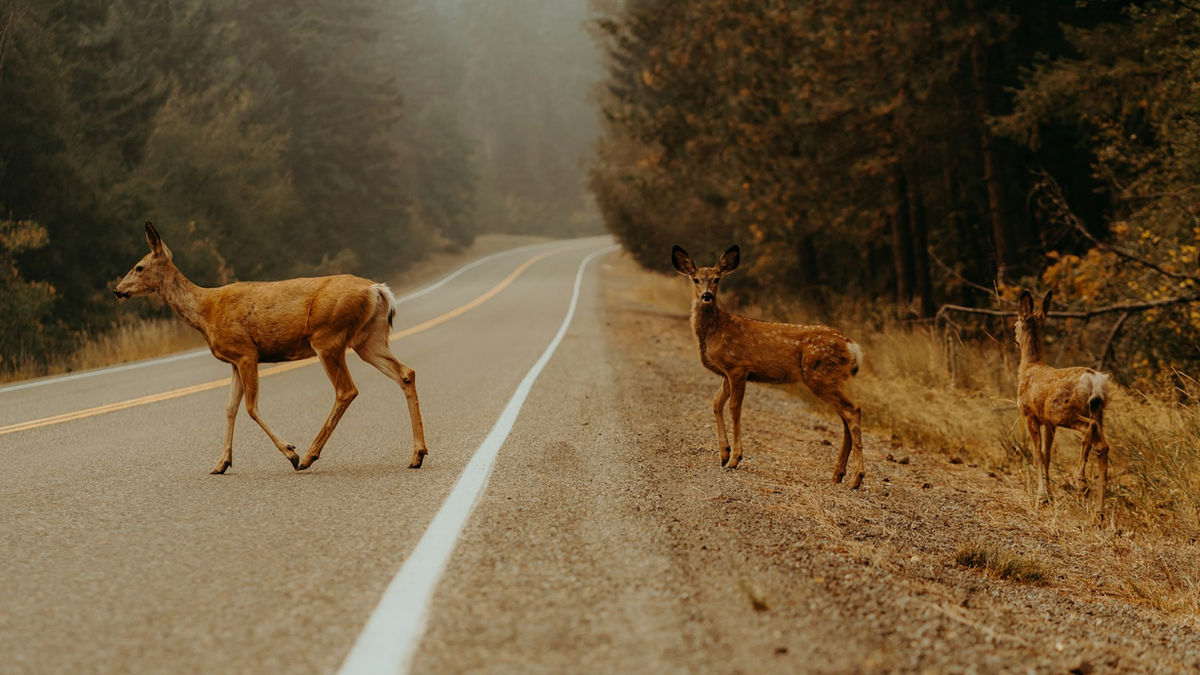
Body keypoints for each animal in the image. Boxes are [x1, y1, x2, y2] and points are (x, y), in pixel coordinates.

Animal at [114, 222, 428, 474]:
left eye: (139, 266)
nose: (118, 290)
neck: (206, 311)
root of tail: (378, 289)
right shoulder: (233, 362)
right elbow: (229, 407)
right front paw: (220, 463)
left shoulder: (246, 353)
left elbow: (250, 407)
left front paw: (291, 452)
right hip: (368, 339)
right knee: (405, 372)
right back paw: (417, 454)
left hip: (327, 337)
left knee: (346, 390)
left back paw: (309, 456)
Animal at [671, 245, 866, 488]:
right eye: (696, 279)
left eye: (716, 279)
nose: (706, 296)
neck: (715, 331)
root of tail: (853, 347)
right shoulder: (726, 373)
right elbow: (716, 403)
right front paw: (724, 454)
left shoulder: (738, 367)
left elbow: (735, 408)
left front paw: (735, 458)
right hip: (830, 378)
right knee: (846, 416)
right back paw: (838, 473)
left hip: (819, 375)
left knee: (853, 410)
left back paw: (856, 478)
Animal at [1015, 289, 1112, 516]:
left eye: (1015, 324)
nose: (1014, 338)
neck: (1029, 366)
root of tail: (1094, 379)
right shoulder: (1048, 423)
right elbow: (1047, 455)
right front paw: (1048, 495)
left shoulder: (1030, 414)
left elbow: (1037, 454)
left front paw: (1042, 497)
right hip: (1097, 413)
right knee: (1103, 446)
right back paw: (1099, 512)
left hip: (1062, 411)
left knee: (1088, 428)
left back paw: (1081, 482)